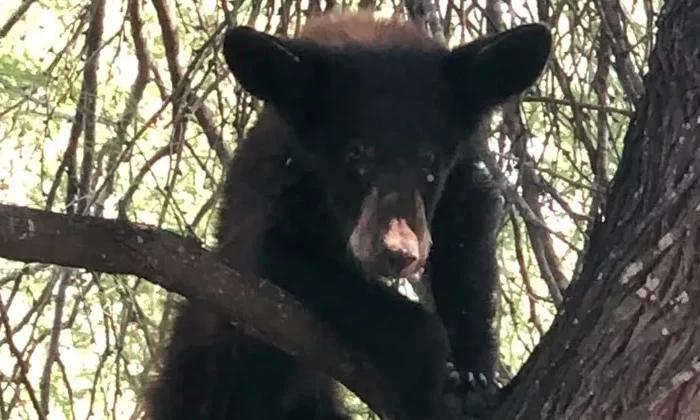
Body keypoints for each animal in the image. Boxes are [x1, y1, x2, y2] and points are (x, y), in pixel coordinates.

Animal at [144, 11, 551, 420]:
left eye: (430, 159)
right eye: (355, 152)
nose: (397, 253)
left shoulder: (459, 181)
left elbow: (467, 243)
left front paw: (469, 375)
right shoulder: (270, 208)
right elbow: (286, 261)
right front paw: (426, 377)